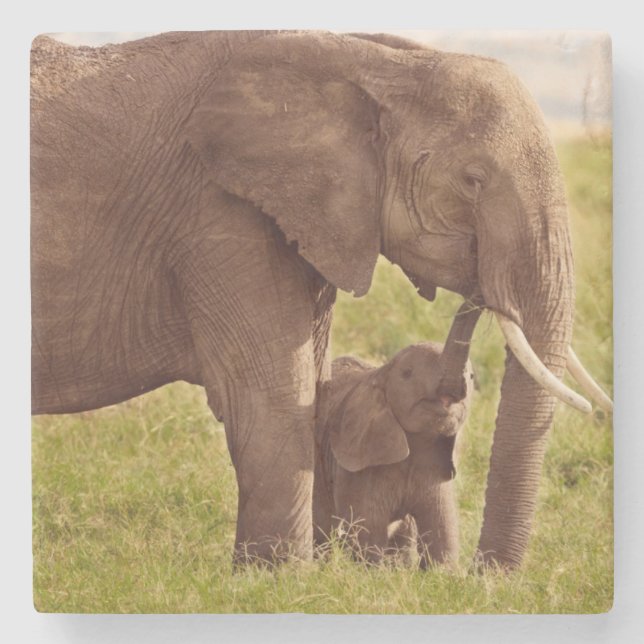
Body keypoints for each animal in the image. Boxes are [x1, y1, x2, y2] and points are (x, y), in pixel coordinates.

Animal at [313, 301, 479, 567]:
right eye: (407, 374)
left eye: (472, 377)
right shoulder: (358, 465)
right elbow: (368, 533)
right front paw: (373, 570)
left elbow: (443, 533)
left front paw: (442, 572)